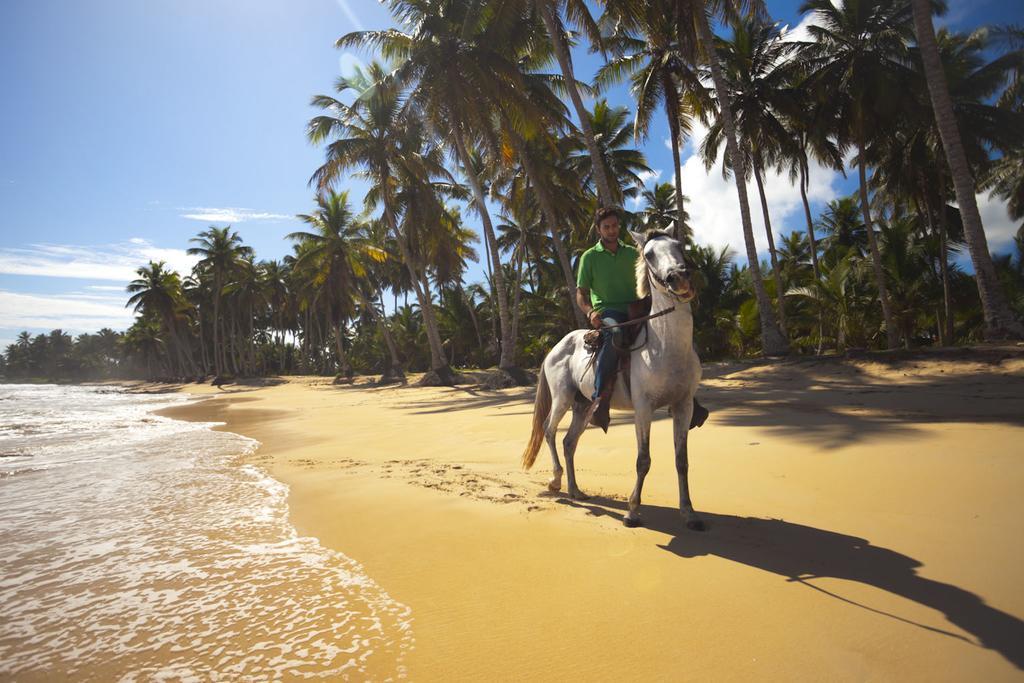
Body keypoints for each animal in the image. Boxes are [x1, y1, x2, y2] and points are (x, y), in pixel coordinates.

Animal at [520, 229, 704, 528]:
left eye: (679, 245)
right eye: (649, 254)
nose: (679, 277)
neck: (665, 347)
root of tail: (555, 348)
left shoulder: (683, 406)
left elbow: (682, 461)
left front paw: (689, 513)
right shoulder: (643, 408)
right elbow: (643, 460)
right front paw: (632, 511)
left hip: (584, 406)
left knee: (569, 442)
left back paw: (575, 490)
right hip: (562, 398)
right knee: (548, 430)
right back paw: (556, 481)